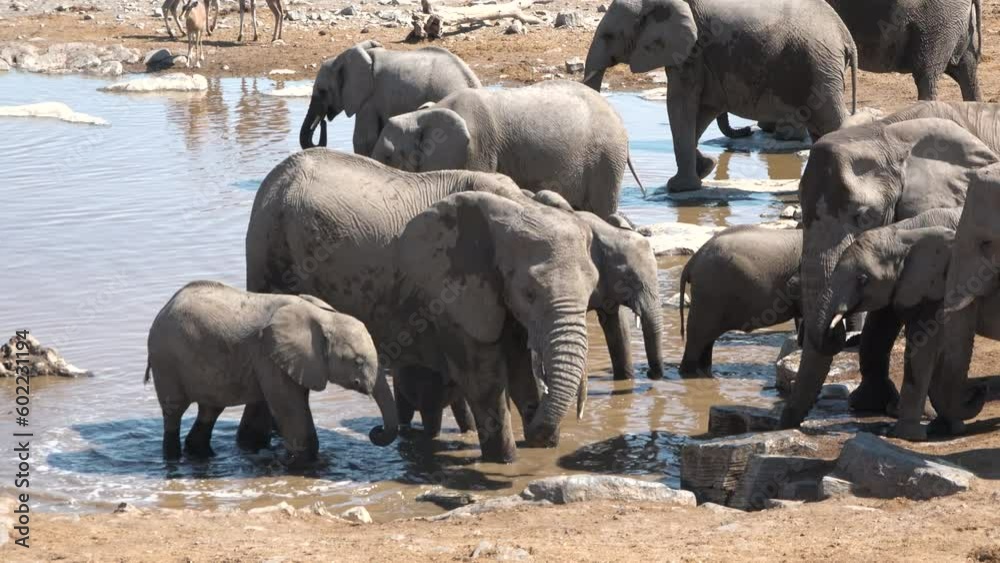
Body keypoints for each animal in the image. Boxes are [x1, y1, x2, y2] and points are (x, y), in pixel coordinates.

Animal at [145, 281, 390, 467]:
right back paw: (173, 459)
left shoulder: (294, 361)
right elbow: (289, 408)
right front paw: (304, 465)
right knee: (174, 410)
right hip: (166, 360)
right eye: (358, 362)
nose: (376, 432)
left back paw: (202, 456)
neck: (324, 316)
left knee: (210, 409)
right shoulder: (269, 356)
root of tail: (164, 308)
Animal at [245, 149, 599, 462]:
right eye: (529, 293)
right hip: (269, 253)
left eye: (593, 288)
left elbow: (520, 369)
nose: (540, 431)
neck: (520, 206)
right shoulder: (451, 293)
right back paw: (253, 447)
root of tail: (274, 178)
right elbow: (484, 381)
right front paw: (507, 461)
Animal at [583, 0, 857, 192]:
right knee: (820, 125)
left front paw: (680, 187)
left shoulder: (692, 52)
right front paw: (705, 167)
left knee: (830, 118)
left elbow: (680, 103)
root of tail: (846, 36)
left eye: (608, 36)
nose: (746, 130)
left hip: (818, 64)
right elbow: (703, 109)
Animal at [780, 106, 1000, 430]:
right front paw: (868, 404)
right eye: (802, 215)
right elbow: (884, 310)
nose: (784, 421)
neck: (887, 134)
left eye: (863, 216)